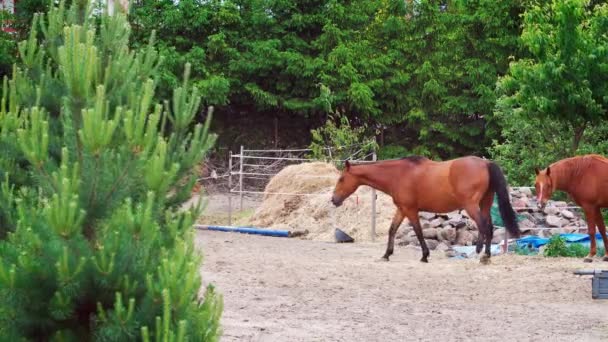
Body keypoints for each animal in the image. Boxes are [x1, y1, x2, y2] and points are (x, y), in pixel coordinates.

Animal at [330, 156, 520, 264]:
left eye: (341, 179)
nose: (333, 199)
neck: (398, 174)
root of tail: (486, 163)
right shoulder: (402, 209)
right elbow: (392, 230)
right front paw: (386, 254)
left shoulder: (410, 210)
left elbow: (419, 231)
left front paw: (424, 256)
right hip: (485, 203)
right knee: (489, 226)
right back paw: (487, 255)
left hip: (471, 205)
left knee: (483, 226)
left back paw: (481, 253)